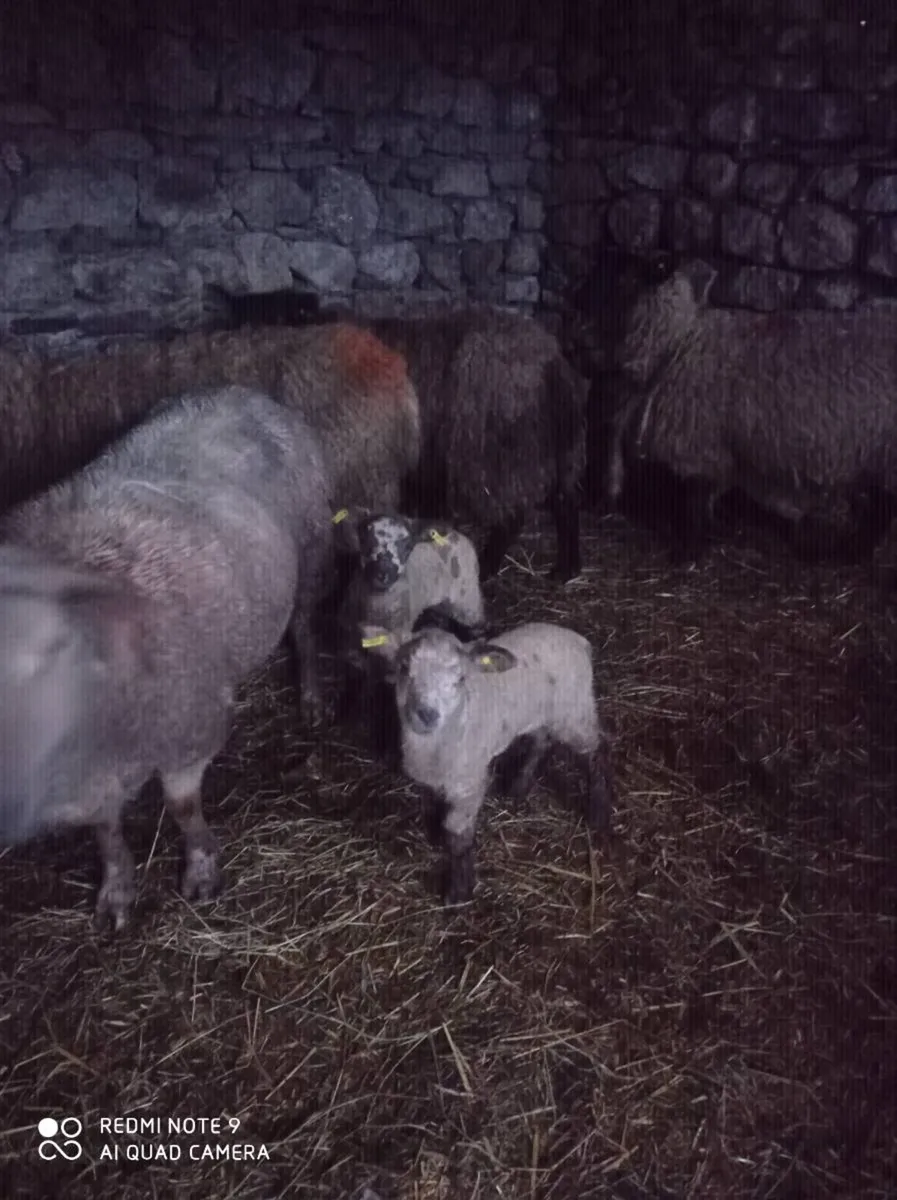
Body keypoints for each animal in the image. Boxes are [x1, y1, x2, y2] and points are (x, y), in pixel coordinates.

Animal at [0, 384, 333, 929]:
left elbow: (182, 807)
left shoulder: (190, 729)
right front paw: (117, 891)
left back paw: (311, 697)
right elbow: (105, 831)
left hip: (311, 548)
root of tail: (237, 388)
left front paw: (201, 869)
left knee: (304, 629)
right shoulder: (90, 781)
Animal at [211, 291, 592, 583]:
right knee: (566, 502)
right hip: (557, 449)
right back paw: (567, 568)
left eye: (280, 319)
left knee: (511, 515)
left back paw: (489, 567)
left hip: (495, 453)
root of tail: (552, 363)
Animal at [360, 621, 614, 904]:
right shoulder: (431, 778)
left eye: (460, 679)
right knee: (542, 740)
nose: (426, 715)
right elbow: (431, 804)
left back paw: (598, 812)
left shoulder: (469, 784)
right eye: (404, 668)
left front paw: (458, 891)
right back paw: (519, 786)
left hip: (576, 711)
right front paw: (435, 834)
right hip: (540, 712)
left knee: (594, 754)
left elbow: (457, 835)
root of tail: (577, 638)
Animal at [574, 249, 897, 563]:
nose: (574, 321)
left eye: (624, 281)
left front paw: (687, 552)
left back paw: (853, 552)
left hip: (882, 454)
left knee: (881, 509)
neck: (681, 345)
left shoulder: (699, 448)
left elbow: (694, 503)